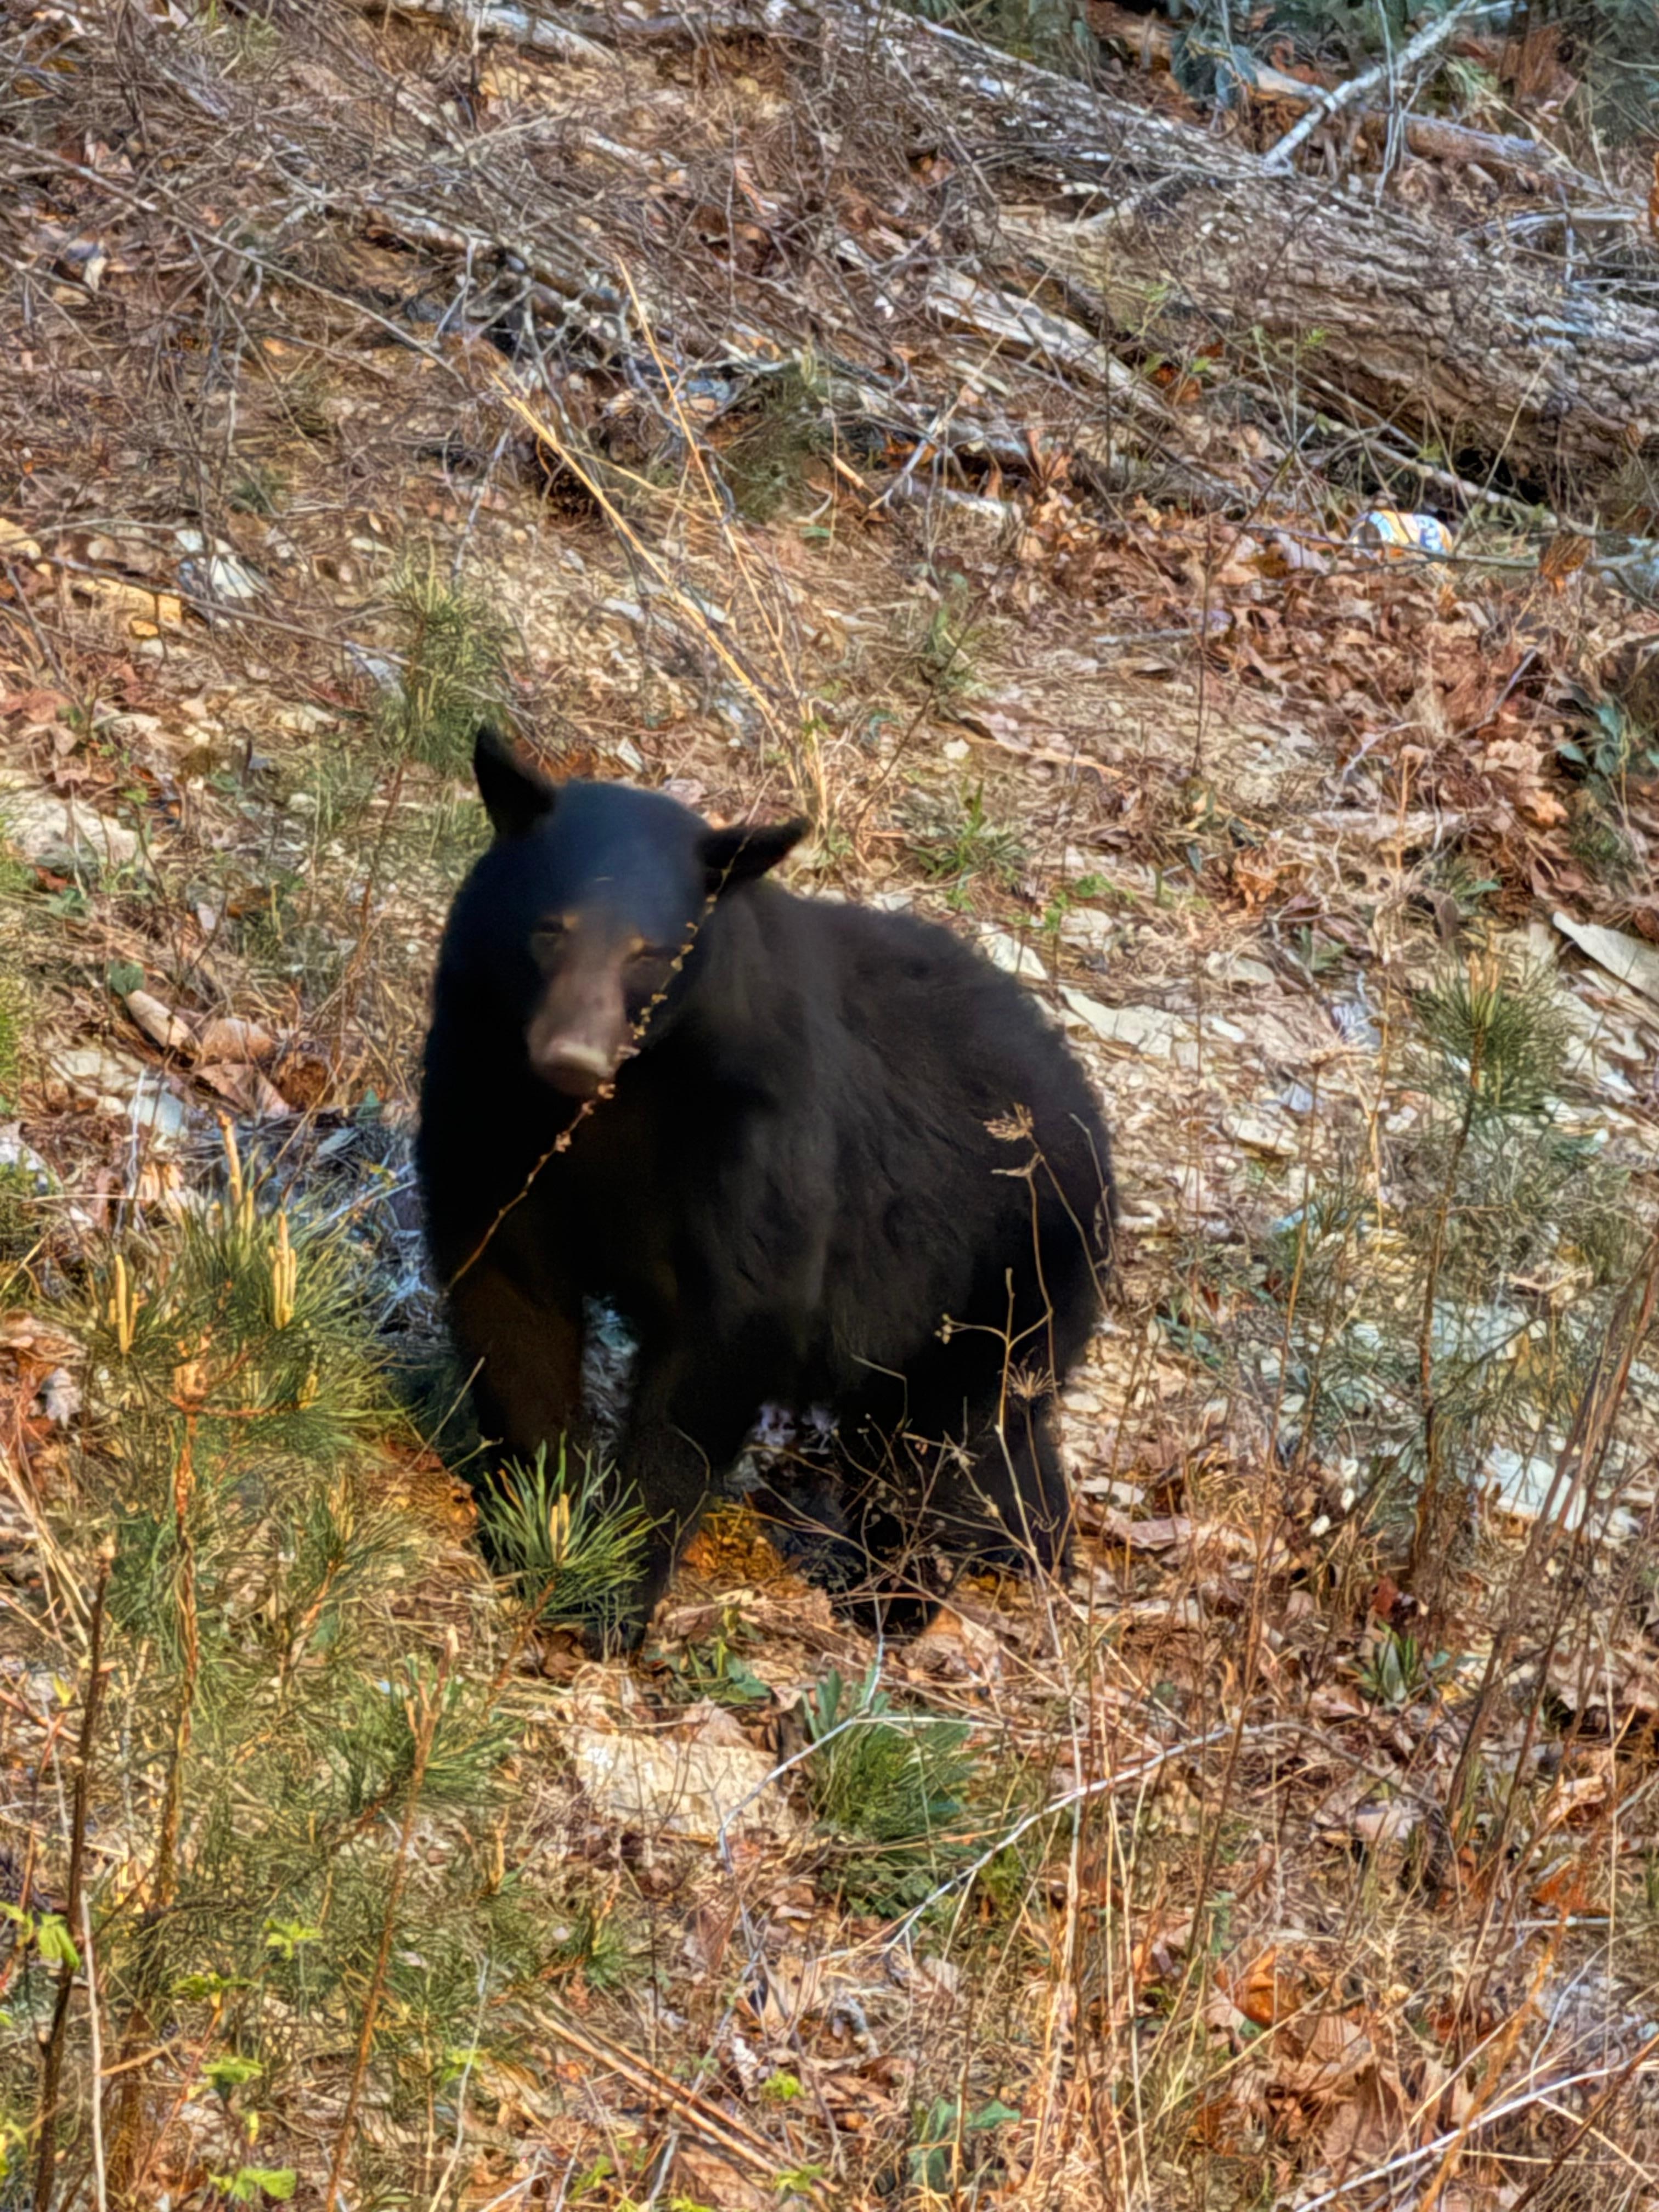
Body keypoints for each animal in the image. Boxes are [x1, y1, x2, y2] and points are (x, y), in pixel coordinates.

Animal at [416, 724, 1115, 1645]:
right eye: (549, 931)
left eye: (649, 954)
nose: (571, 1057)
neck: (619, 1101)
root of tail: (1095, 1129)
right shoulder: (487, 1090)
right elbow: (509, 1297)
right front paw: (540, 1522)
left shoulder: (755, 1142)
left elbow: (722, 1337)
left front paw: (615, 1593)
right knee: (990, 1441)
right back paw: (1035, 1546)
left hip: (1002, 1276)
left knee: (939, 1450)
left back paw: (894, 1599)